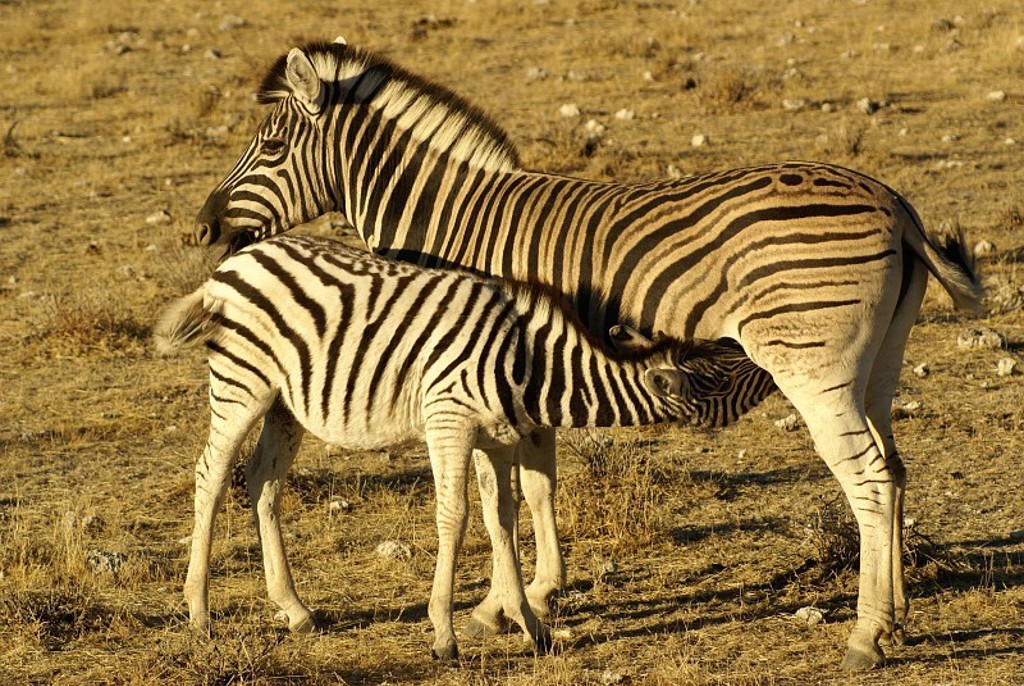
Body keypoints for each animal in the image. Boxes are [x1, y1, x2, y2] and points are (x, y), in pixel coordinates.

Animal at [155, 234, 752, 661]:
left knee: (263, 480)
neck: (530, 363)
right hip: (242, 383)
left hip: (285, 402)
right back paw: (200, 613)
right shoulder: (450, 420)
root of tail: (234, 264)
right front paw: (445, 634)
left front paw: (529, 626)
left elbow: (502, 518)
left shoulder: (498, 438)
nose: (760, 359)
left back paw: (294, 609)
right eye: (728, 375)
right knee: (212, 475)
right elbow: (456, 516)